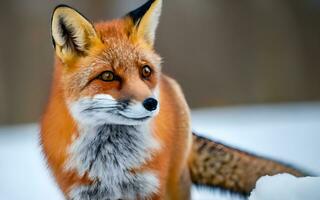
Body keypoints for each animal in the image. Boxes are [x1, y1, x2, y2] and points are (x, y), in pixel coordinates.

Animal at [40, 0, 304, 199]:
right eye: (107, 76)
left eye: (145, 71)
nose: (151, 103)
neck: (112, 163)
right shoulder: (82, 192)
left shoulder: (151, 188)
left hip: (176, 184)